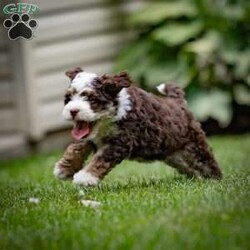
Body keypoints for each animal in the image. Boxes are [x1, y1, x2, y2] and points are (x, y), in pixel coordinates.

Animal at [53, 67, 222, 187]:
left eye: (92, 100)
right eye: (68, 99)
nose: (73, 111)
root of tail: (178, 102)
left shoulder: (121, 141)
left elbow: (101, 158)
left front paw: (85, 177)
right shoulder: (90, 137)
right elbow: (77, 147)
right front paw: (64, 168)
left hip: (195, 146)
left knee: (207, 163)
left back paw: (215, 181)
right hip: (176, 157)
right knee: (190, 168)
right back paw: (196, 180)